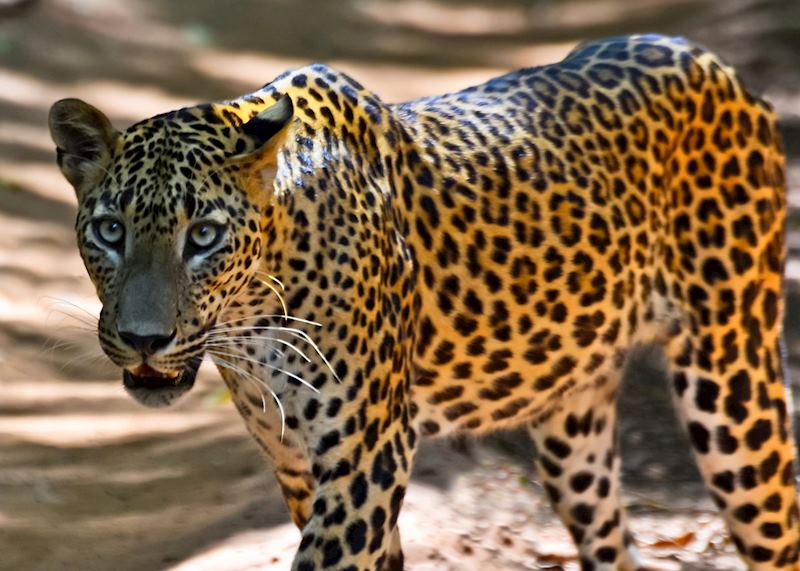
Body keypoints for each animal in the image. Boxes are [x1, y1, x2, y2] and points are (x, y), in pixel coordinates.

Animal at [50, 35, 800, 571]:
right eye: (110, 230)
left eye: (203, 236)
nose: (144, 339)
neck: (251, 312)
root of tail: (709, 59)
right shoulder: (297, 466)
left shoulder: (367, 453)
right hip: (574, 425)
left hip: (732, 388)